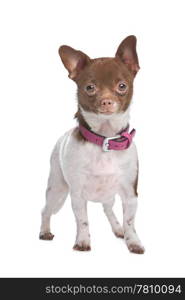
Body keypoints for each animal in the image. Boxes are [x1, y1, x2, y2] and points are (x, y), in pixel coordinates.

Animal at [39, 36, 145, 254]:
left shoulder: (130, 194)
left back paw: (118, 228)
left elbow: (130, 221)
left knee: (108, 208)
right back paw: (44, 231)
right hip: (57, 191)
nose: (106, 101)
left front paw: (133, 241)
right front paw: (82, 241)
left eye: (122, 86)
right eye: (90, 88)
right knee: (45, 210)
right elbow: (83, 220)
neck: (105, 139)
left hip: (108, 194)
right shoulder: (77, 195)